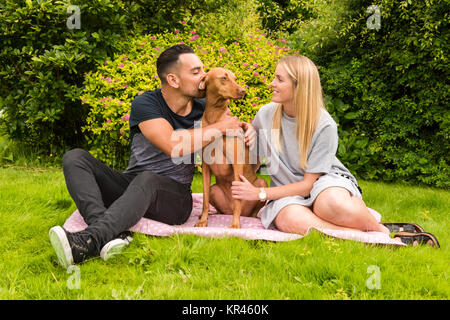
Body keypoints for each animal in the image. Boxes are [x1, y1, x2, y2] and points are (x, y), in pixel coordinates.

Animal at [194, 67, 268, 228]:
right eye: (224, 78)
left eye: (235, 78)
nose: (243, 91)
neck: (214, 115)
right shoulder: (205, 167)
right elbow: (204, 199)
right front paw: (203, 220)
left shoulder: (236, 163)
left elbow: (237, 200)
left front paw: (235, 225)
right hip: (214, 189)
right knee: (218, 205)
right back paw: (214, 214)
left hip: (262, 183)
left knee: (250, 211)